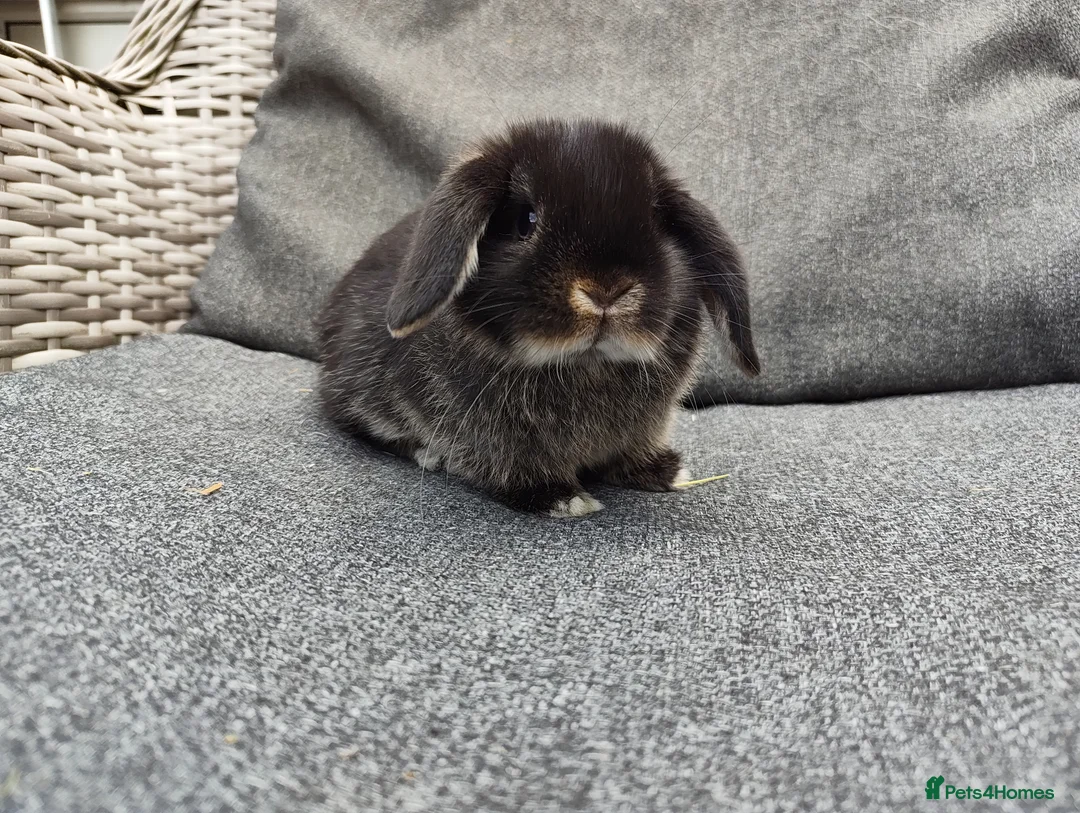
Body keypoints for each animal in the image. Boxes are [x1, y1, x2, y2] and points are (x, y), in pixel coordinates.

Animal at [318, 118, 759, 517]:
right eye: (525, 220)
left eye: (656, 221)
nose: (606, 291)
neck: (586, 364)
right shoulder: (492, 436)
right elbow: (513, 466)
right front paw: (563, 499)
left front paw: (666, 472)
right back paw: (429, 453)